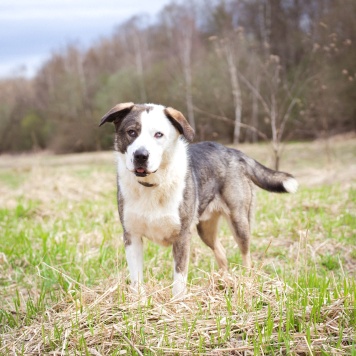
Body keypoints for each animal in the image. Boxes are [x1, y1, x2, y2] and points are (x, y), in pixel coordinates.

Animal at [100, 101, 298, 296]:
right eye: (132, 132)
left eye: (159, 134)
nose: (140, 155)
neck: (153, 184)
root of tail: (233, 151)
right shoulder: (131, 235)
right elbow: (137, 279)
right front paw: (139, 301)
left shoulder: (182, 236)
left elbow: (179, 280)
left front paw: (177, 302)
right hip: (205, 228)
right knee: (221, 253)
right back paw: (222, 282)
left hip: (239, 221)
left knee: (246, 255)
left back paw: (247, 283)